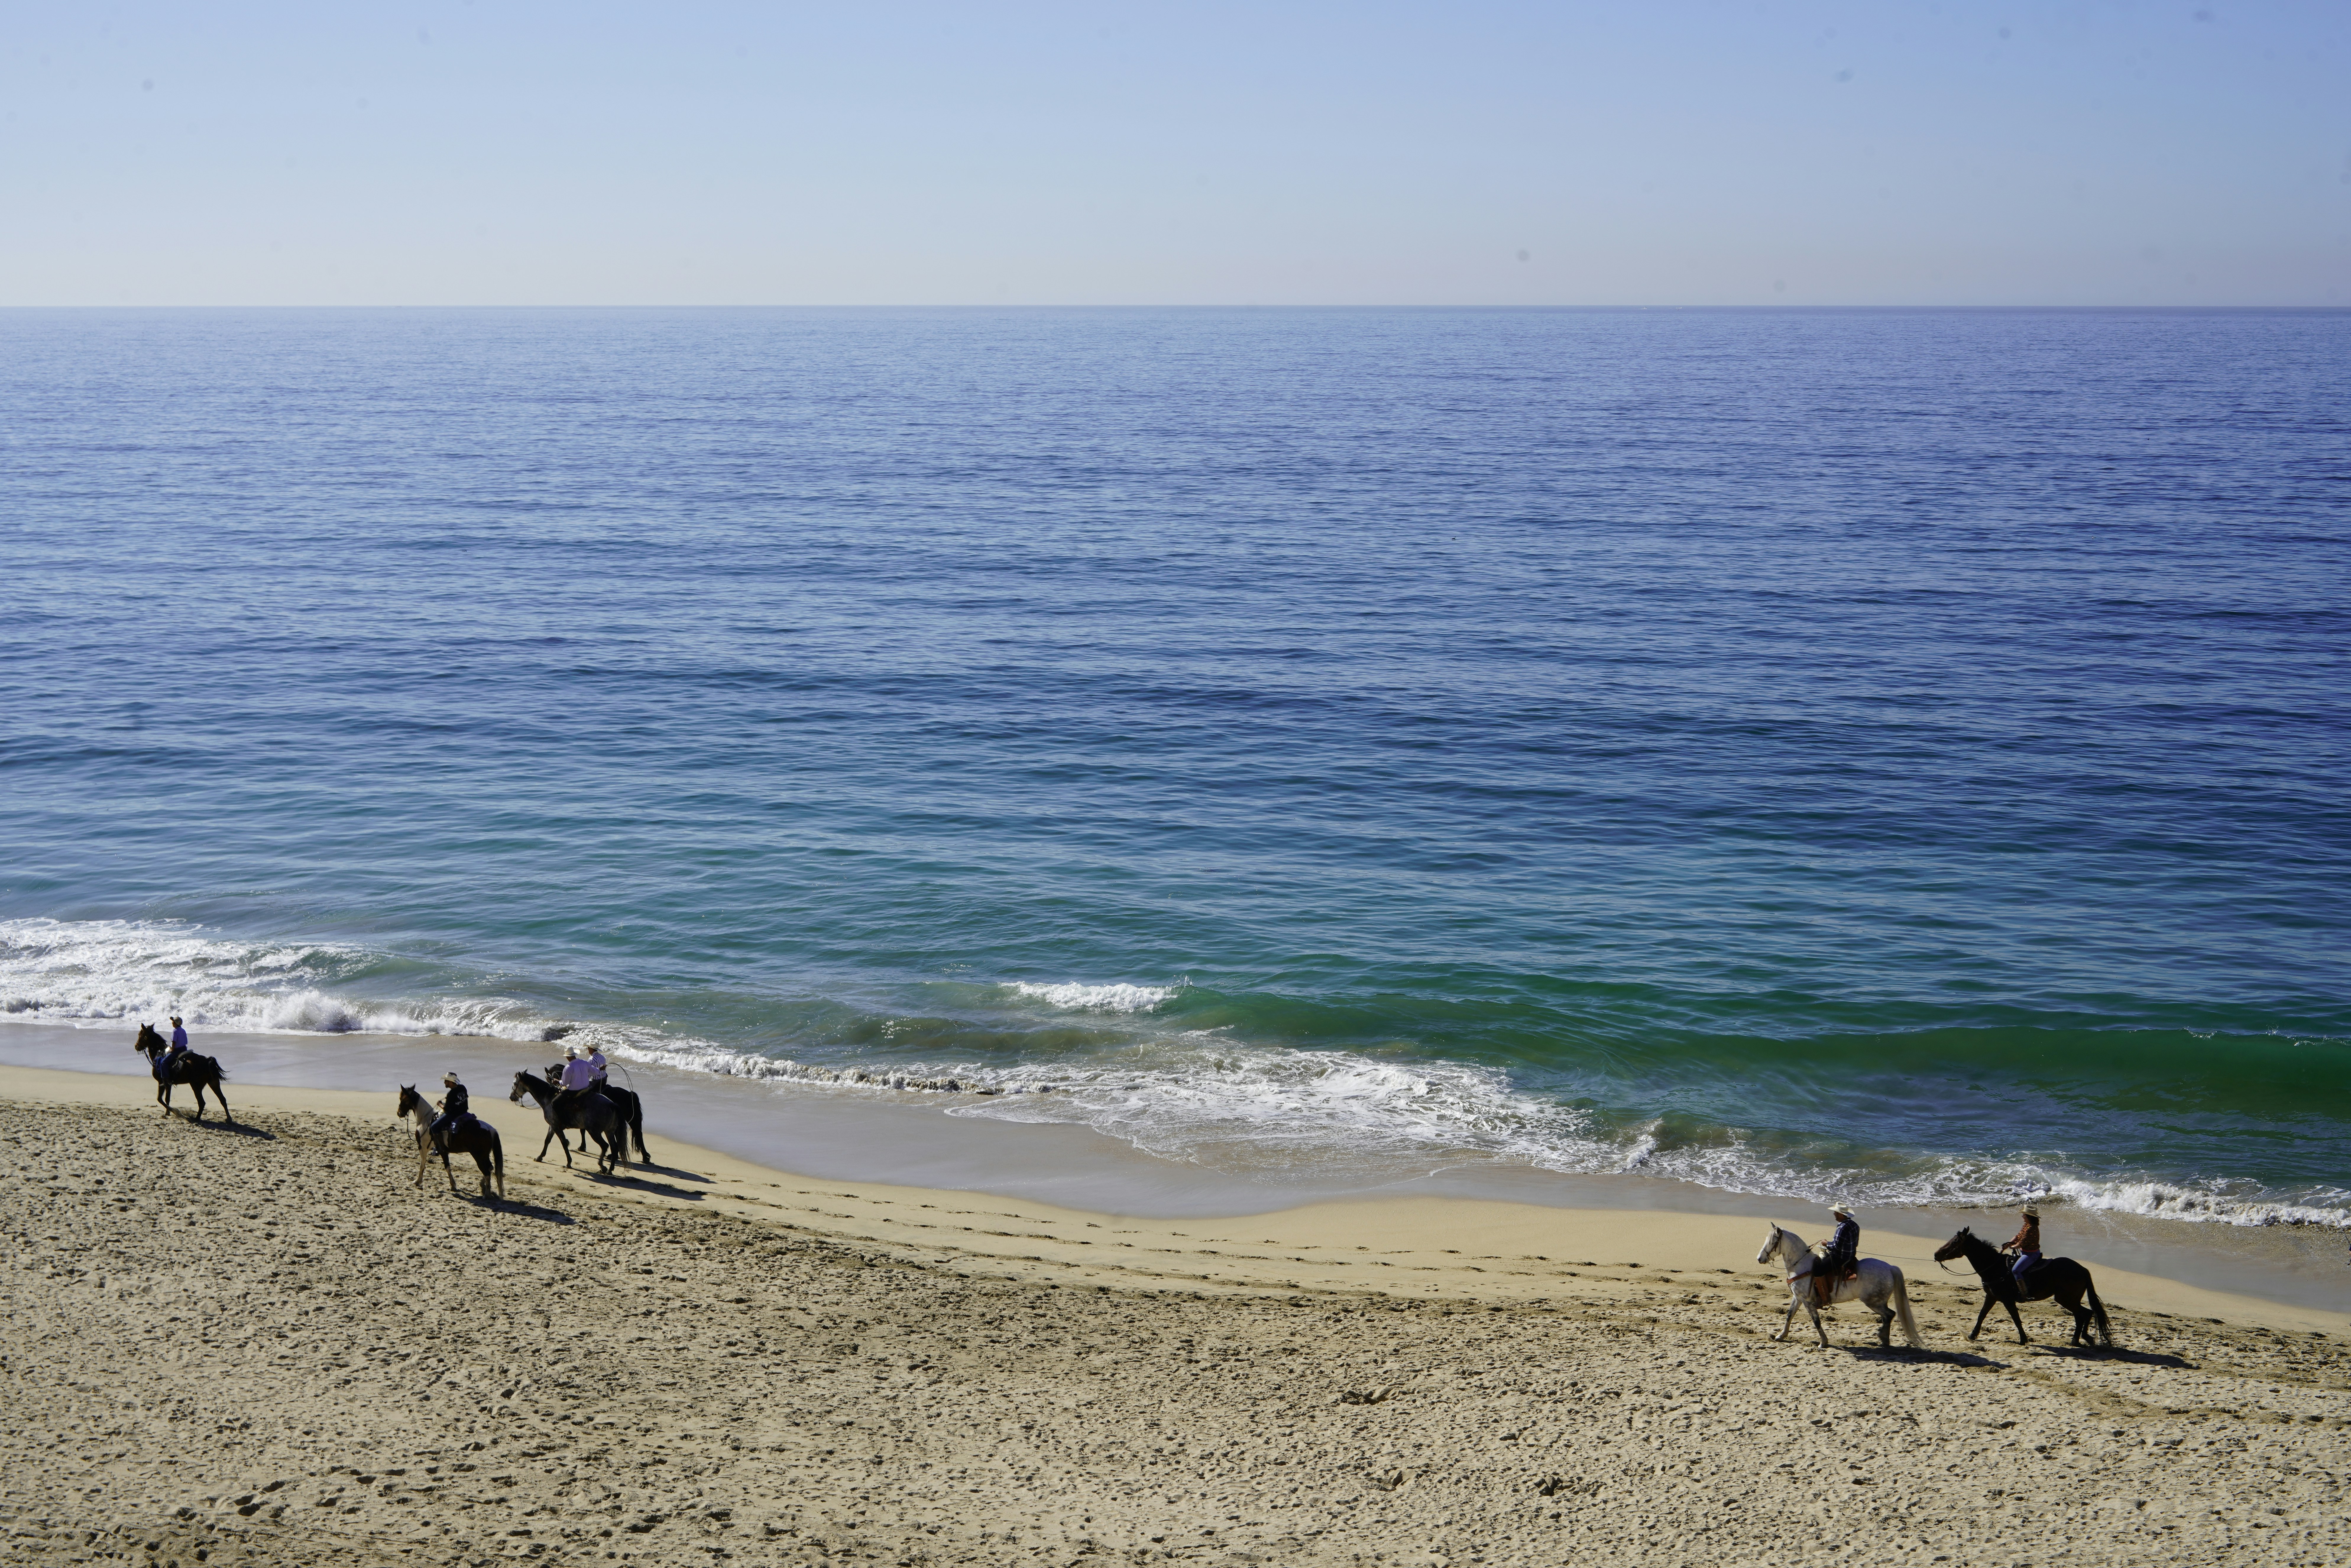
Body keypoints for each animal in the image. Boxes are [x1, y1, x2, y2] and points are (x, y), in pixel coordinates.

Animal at [132, 1023, 233, 1123]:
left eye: (140, 1035)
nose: (136, 1046)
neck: (159, 1054)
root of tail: (207, 1061)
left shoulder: (162, 1083)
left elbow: (160, 1099)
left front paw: (175, 1112)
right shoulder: (168, 1084)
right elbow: (167, 1099)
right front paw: (168, 1113)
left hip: (196, 1086)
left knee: (202, 1102)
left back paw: (197, 1118)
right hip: (214, 1083)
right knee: (222, 1100)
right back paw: (229, 1119)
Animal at [395, 1085, 506, 1201]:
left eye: (402, 1099)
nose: (399, 1113)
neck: (426, 1120)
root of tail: (491, 1129)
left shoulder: (423, 1148)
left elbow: (424, 1165)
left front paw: (418, 1181)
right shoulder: (443, 1151)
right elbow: (447, 1167)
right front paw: (453, 1186)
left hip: (479, 1156)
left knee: (487, 1171)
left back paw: (487, 1194)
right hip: (484, 1156)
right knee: (490, 1168)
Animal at [509, 1070, 622, 1175]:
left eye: (515, 1083)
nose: (511, 1097)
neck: (548, 1098)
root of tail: (612, 1105)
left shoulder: (556, 1127)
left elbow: (563, 1143)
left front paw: (569, 1162)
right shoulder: (553, 1126)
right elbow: (547, 1141)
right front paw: (540, 1157)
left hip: (595, 1132)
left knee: (605, 1146)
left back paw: (602, 1167)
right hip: (609, 1132)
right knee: (614, 1147)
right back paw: (610, 1170)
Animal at [1756, 1223, 1925, 1351]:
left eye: (1773, 1241)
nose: (1759, 1259)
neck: (1802, 1265)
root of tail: (1891, 1268)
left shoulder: (1807, 1301)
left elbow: (1816, 1321)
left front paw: (1823, 1343)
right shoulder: (1798, 1298)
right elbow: (1790, 1315)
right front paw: (1781, 1336)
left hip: (1874, 1302)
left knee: (1890, 1315)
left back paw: (1883, 1338)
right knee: (1887, 1316)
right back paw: (1884, 1340)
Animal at [1933, 1227, 2112, 1349]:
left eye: (1955, 1242)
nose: (1936, 1254)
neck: (1995, 1267)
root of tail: (2082, 1269)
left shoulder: (2007, 1300)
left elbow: (2016, 1319)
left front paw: (2023, 1340)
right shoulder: (1992, 1297)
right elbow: (1982, 1315)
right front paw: (1972, 1335)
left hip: (2066, 1299)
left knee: (2084, 1314)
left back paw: (2079, 1339)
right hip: (2070, 1300)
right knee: (2083, 1315)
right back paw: (2080, 1339)